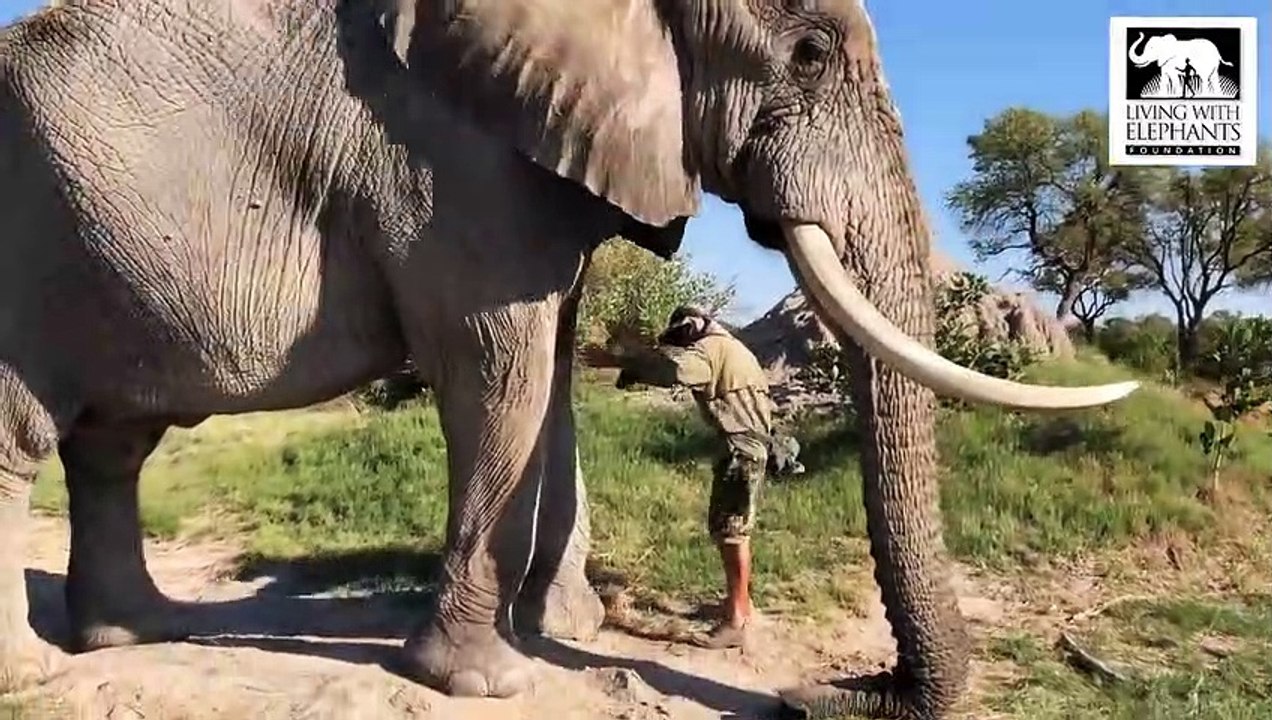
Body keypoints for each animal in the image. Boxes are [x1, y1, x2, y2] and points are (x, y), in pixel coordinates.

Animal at [0, 0, 1138, 716]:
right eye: (810, 54)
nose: (833, 691)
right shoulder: (445, 161)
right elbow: (499, 369)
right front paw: (489, 681)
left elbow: (549, 367)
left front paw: (567, 624)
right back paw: (31, 677)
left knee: (111, 448)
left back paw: (142, 632)